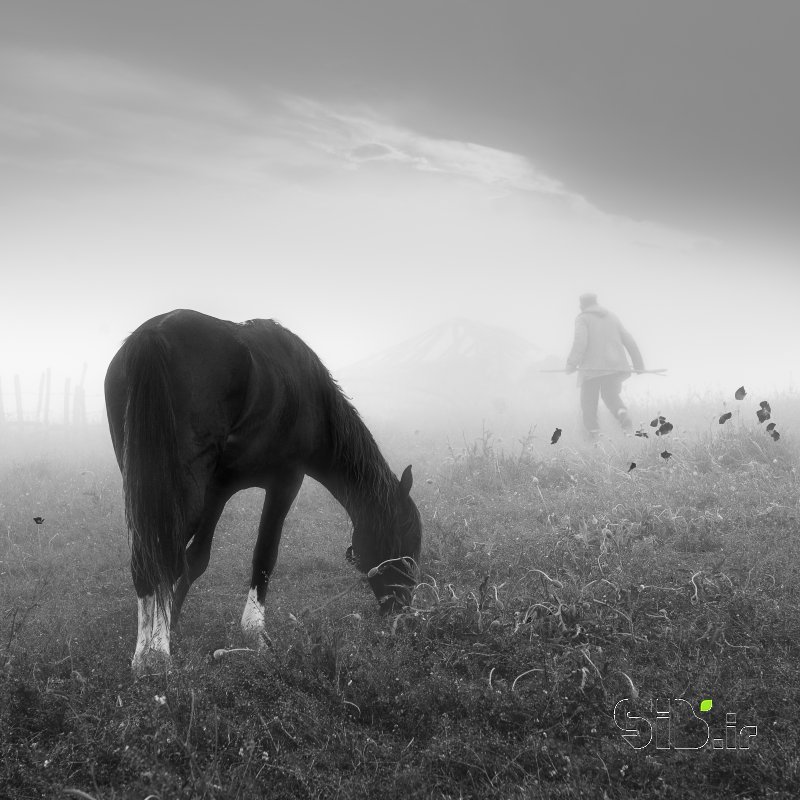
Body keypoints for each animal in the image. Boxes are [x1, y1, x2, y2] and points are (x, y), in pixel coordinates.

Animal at [106, 310, 424, 672]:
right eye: (407, 542)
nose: (403, 613)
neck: (308, 394)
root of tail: (156, 335)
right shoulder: (286, 480)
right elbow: (264, 555)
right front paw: (255, 632)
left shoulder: (218, 489)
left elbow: (197, 559)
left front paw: (174, 619)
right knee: (161, 555)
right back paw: (156, 654)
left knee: (148, 558)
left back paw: (145, 654)